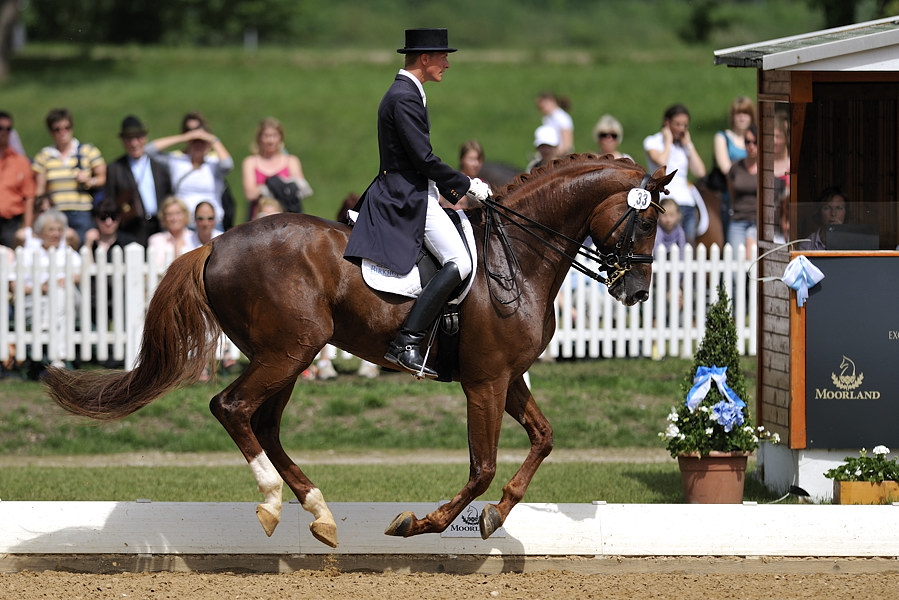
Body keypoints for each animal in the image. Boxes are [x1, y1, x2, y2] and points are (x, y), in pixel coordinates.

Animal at [45, 154, 673, 549]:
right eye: (646, 222)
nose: (637, 293)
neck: (518, 253)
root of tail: (215, 242)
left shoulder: (509, 379)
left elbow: (542, 440)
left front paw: (497, 514)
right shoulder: (486, 382)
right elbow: (482, 467)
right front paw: (421, 523)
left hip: (287, 355)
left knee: (263, 422)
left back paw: (319, 514)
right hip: (290, 351)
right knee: (232, 408)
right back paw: (272, 502)